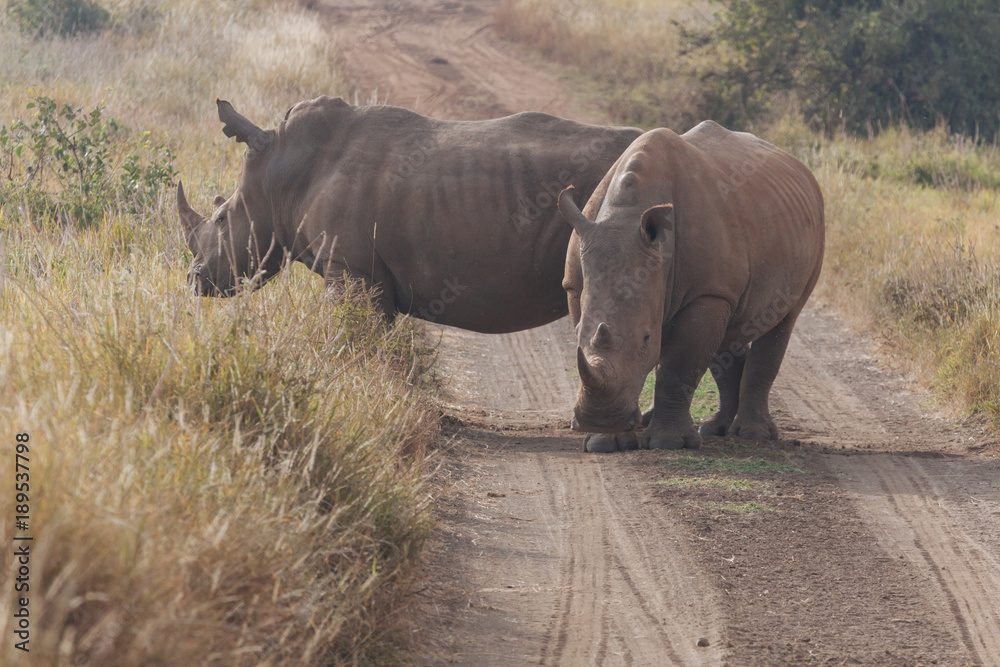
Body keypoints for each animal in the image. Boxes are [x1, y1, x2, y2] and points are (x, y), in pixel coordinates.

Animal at [177, 97, 641, 333]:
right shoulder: (368, 272)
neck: (282, 175)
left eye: (221, 220)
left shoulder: (350, 266)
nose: (193, 280)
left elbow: (352, 334)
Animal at [558, 121, 825, 452]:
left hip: (810, 232)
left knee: (783, 322)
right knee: (729, 333)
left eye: (646, 338)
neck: (626, 215)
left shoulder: (706, 292)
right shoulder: (575, 284)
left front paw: (668, 442)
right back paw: (715, 429)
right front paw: (605, 443)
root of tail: (802, 169)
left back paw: (753, 435)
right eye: (577, 333)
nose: (599, 419)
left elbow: (680, 364)